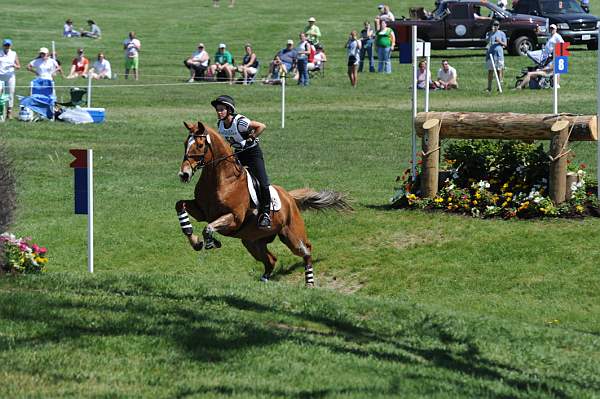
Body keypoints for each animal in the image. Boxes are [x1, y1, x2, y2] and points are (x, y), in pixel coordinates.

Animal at [173, 122, 352, 288]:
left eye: (200, 145)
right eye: (185, 143)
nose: (184, 174)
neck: (222, 179)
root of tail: (289, 198)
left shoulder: (234, 218)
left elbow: (208, 228)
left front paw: (211, 242)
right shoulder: (202, 211)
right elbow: (180, 205)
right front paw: (195, 241)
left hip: (291, 236)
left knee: (306, 250)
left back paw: (309, 283)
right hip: (252, 241)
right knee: (271, 260)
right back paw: (265, 279)